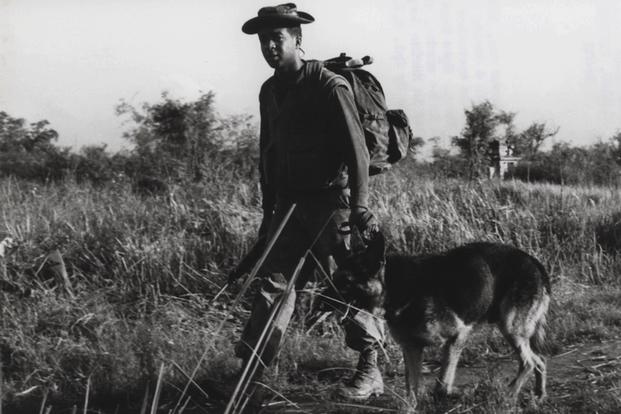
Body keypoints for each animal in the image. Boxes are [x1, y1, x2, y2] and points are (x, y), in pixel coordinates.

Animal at [332, 233, 548, 410]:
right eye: (335, 278)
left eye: (345, 281)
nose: (323, 298)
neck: (397, 286)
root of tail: (534, 262)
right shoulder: (411, 348)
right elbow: (411, 388)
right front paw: (411, 407)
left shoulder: (458, 336)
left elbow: (442, 385)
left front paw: (451, 395)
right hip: (514, 331)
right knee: (540, 360)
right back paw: (538, 395)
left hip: (510, 328)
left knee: (528, 362)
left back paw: (510, 394)